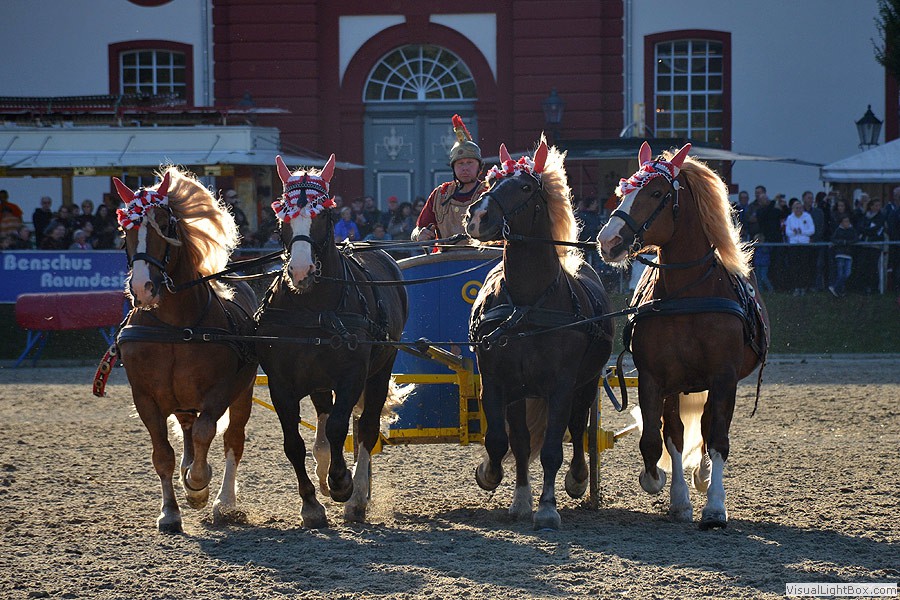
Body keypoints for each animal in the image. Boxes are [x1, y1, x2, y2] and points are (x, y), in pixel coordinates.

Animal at [112, 167, 259, 533]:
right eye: (125, 229)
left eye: (166, 225)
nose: (142, 288)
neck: (175, 327)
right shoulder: (145, 397)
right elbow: (162, 454)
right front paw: (170, 511)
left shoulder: (220, 390)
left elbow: (208, 433)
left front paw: (198, 485)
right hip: (180, 400)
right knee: (188, 429)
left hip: (243, 392)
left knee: (232, 439)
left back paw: (223, 501)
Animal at [255, 154, 409, 527]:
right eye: (282, 217)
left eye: (323, 215)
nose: (300, 271)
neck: (312, 307)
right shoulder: (281, 383)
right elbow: (294, 443)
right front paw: (311, 504)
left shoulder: (353, 374)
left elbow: (342, 428)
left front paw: (342, 483)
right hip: (318, 380)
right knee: (324, 425)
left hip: (379, 370)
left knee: (365, 427)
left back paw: (357, 497)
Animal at [464, 140, 614, 530]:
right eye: (491, 181)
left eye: (525, 187)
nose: (477, 216)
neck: (528, 303)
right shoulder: (497, 381)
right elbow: (501, 441)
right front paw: (498, 481)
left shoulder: (561, 385)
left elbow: (550, 449)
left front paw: (547, 507)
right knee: (520, 438)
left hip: (585, 385)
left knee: (577, 428)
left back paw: (578, 478)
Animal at [597, 141, 769, 529]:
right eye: (623, 191)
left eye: (655, 193)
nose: (608, 241)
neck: (688, 294)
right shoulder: (655, 378)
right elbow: (658, 438)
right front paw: (663, 485)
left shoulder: (723, 376)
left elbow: (717, 438)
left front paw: (715, 506)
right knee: (679, 431)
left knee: (708, 428)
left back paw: (704, 477)